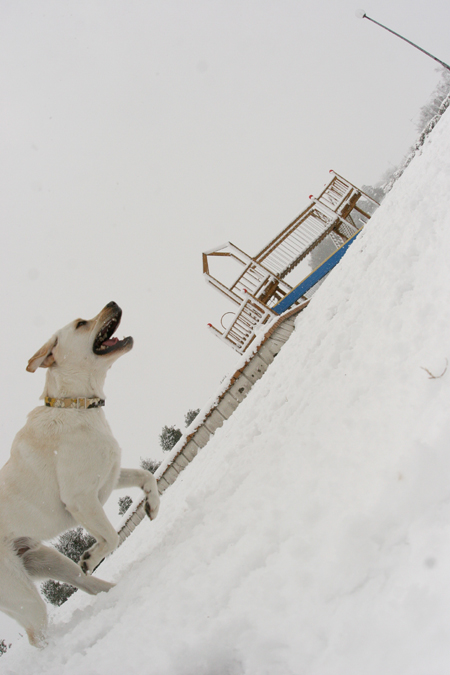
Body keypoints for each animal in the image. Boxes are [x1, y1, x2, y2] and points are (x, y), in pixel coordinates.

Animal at [0, 302, 160, 648]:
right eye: (81, 324)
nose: (113, 302)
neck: (75, 406)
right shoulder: (81, 500)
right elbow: (111, 536)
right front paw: (91, 555)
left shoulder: (108, 476)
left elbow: (147, 476)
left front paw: (153, 506)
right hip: (23, 595)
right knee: (37, 635)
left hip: (44, 558)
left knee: (86, 584)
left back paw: (115, 595)